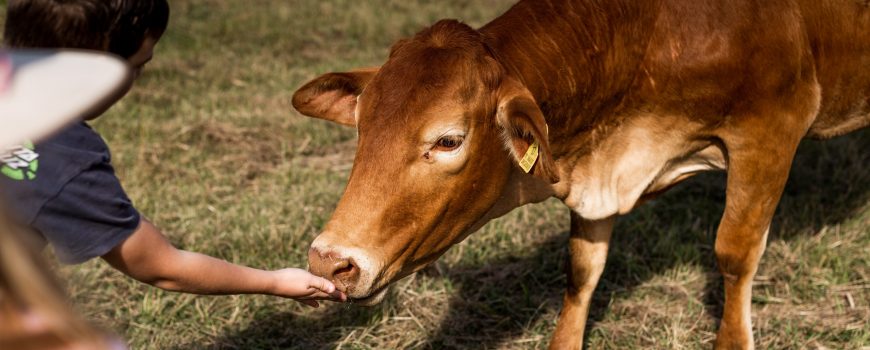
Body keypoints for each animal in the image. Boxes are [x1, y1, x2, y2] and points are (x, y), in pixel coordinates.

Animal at [294, 1, 870, 348]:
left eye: (448, 140)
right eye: (362, 126)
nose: (329, 261)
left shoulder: (771, 129)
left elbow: (734, 252)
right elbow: (582, 269)